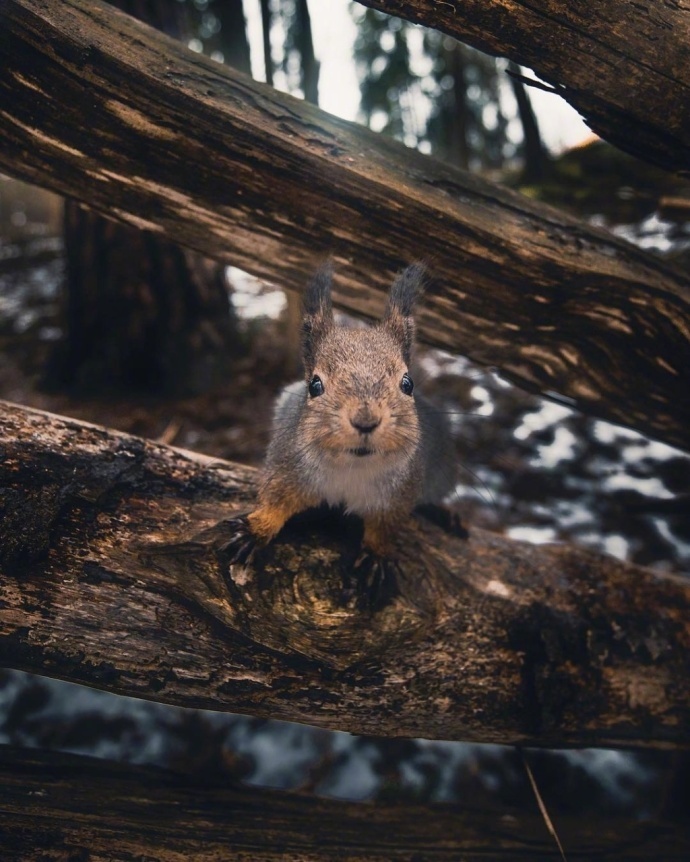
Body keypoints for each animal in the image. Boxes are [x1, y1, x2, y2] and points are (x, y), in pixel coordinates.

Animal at [222, 264, 456, 608]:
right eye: (315, 385)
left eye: (408, 383)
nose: (365, 421)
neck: (351, 468)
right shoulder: (287, 467)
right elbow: (275, 500)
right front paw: (256, 529)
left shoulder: (398, 493)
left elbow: (385, 526)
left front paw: (376, 558)